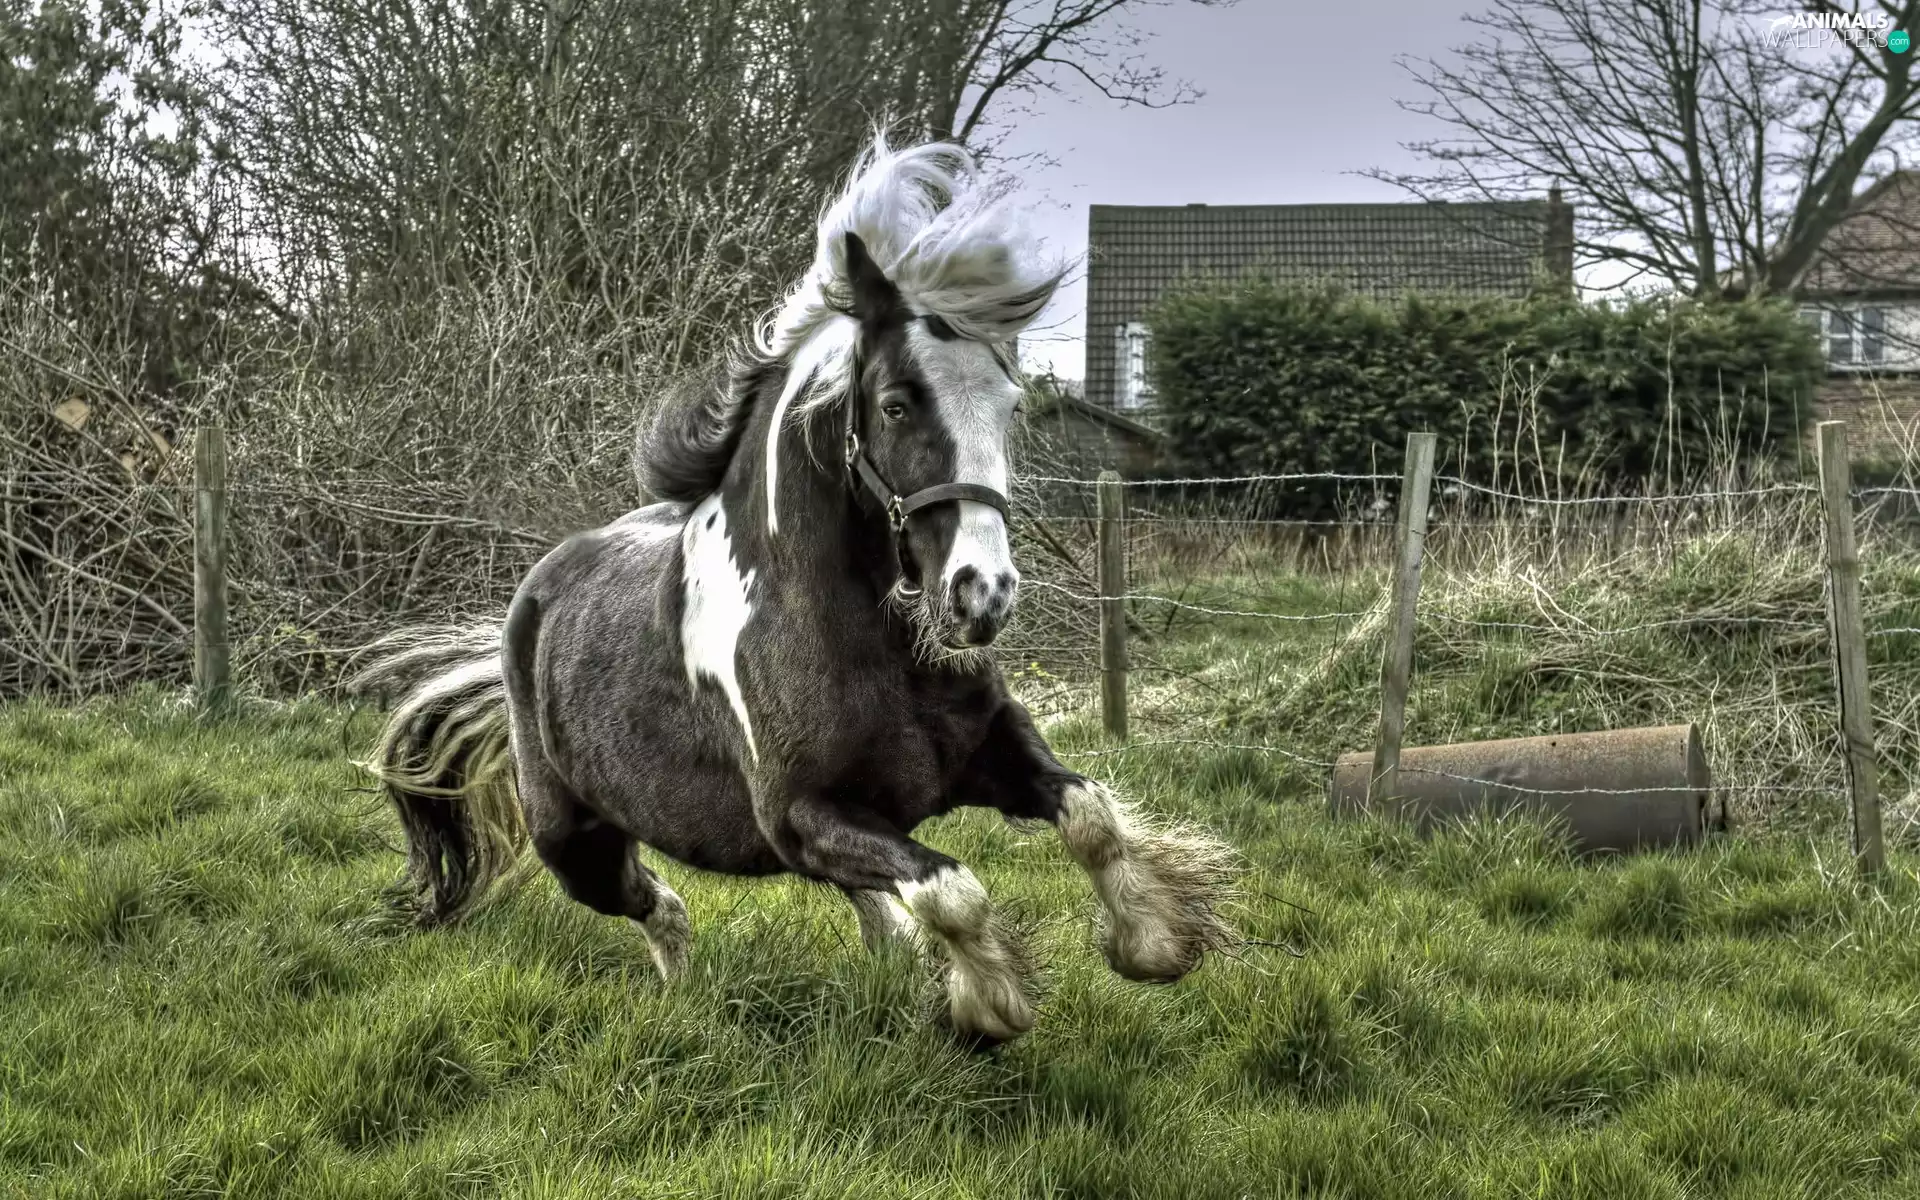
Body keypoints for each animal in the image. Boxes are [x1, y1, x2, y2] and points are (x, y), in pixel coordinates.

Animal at [353, 134, 1235, 1045]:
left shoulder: (989, 750)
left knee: (857, 908)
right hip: (575, 844)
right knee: (661, 908)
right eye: (895, 404)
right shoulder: (803, 816)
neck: (859, 636)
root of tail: (531, 602)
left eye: (1010, 405)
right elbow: (953, 890)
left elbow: (1090, 818)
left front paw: (1155, 944)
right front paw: (990, 1004)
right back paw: (689, 999)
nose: (981, 596)